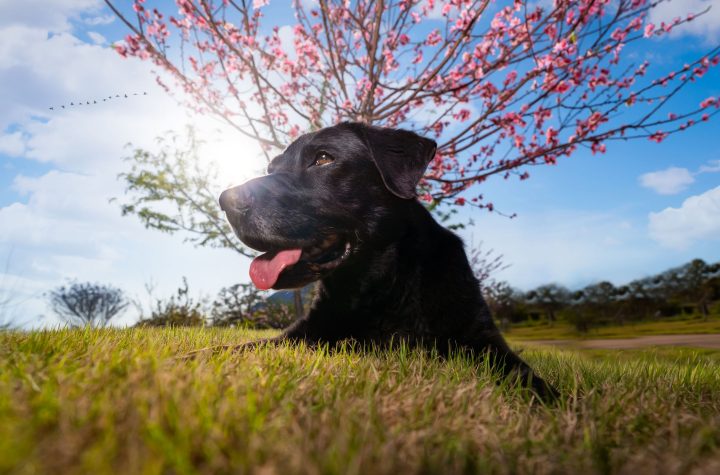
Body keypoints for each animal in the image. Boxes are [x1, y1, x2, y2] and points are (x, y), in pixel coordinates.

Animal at [219, 122, 556, 402]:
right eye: (271, 168)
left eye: (324, 158)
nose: (226, 200)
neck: (382, 285)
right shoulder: (301, 335)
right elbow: (232, 349)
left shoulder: (481, 336)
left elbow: (522, 374)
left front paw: (552, 403)